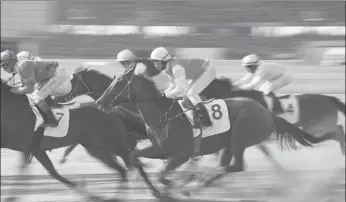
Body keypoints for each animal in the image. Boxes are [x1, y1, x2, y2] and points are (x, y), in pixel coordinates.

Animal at [0, 79, 137, 201]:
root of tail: (112, 113)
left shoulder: (30, 147)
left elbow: (50, 173)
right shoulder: (34, 149)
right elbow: (53, 173)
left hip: (113, 145)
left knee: (128, 161)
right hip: (96, 149)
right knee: (122, 169)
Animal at [94, 68, 318, 199]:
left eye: (119, 83)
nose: (99, 102)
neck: (161, 116)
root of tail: (267, 113)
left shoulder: (181, 155)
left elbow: (163, 174)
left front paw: (172, 186)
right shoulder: (161, 151)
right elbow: (135, 157)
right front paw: (157, 191)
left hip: (240, 138)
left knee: (235, 166)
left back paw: (193, 184)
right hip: (229, 144)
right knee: (226, 165)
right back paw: (195, 184)